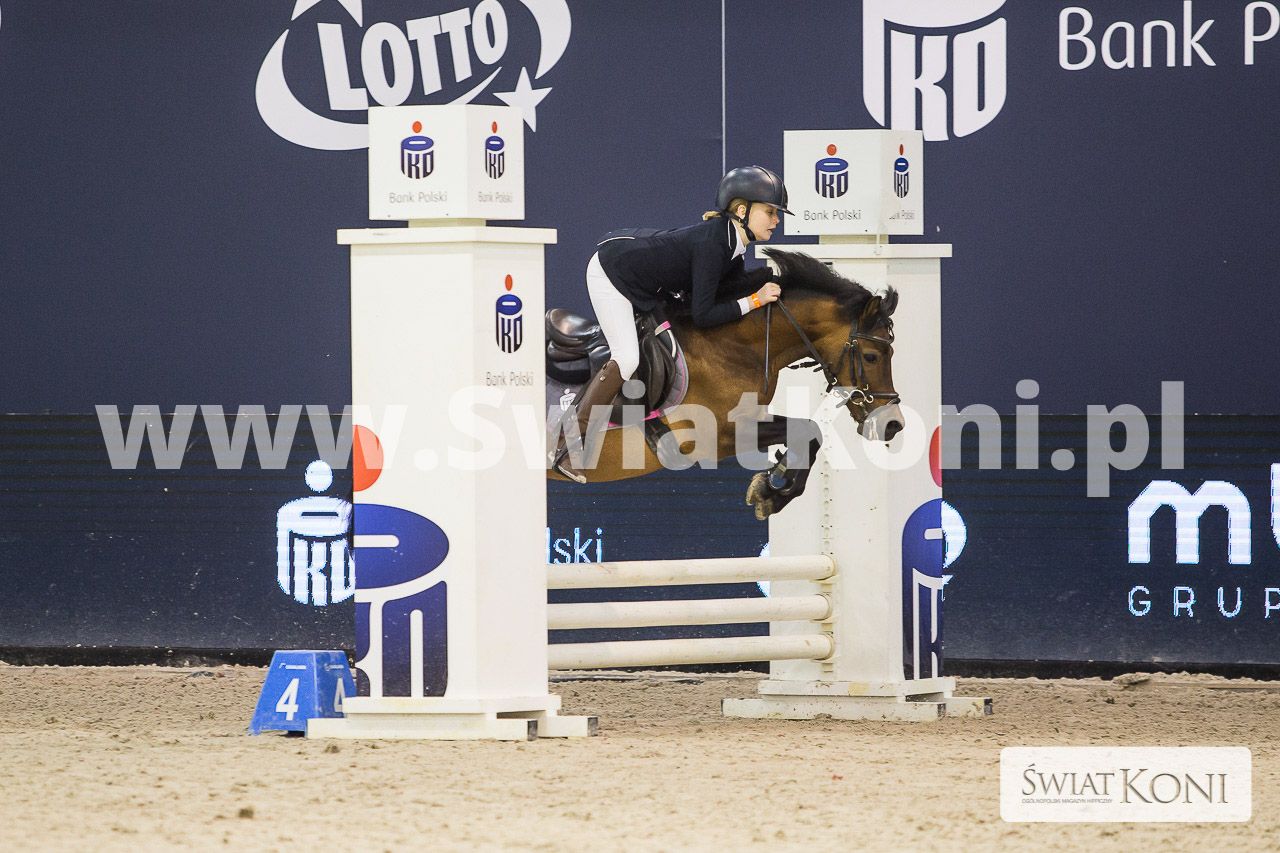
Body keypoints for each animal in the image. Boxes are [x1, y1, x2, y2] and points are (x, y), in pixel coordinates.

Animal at [547, 249, 902, 519]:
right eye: (872, 356)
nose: (892, 424)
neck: (731, 348)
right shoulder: (716, 436)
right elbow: (808, 430)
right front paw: (771, 490)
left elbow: (809, 433)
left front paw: (772, 488)